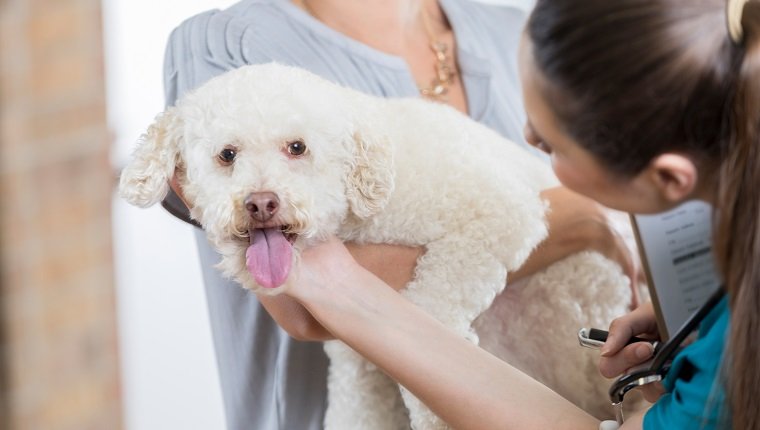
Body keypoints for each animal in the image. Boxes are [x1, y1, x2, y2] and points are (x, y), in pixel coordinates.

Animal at [120, 62, 636, 428]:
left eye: (297, 147)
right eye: (227, 155)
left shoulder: (500, 212)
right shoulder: (358, 363)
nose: (261, 203)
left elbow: (432, 305)